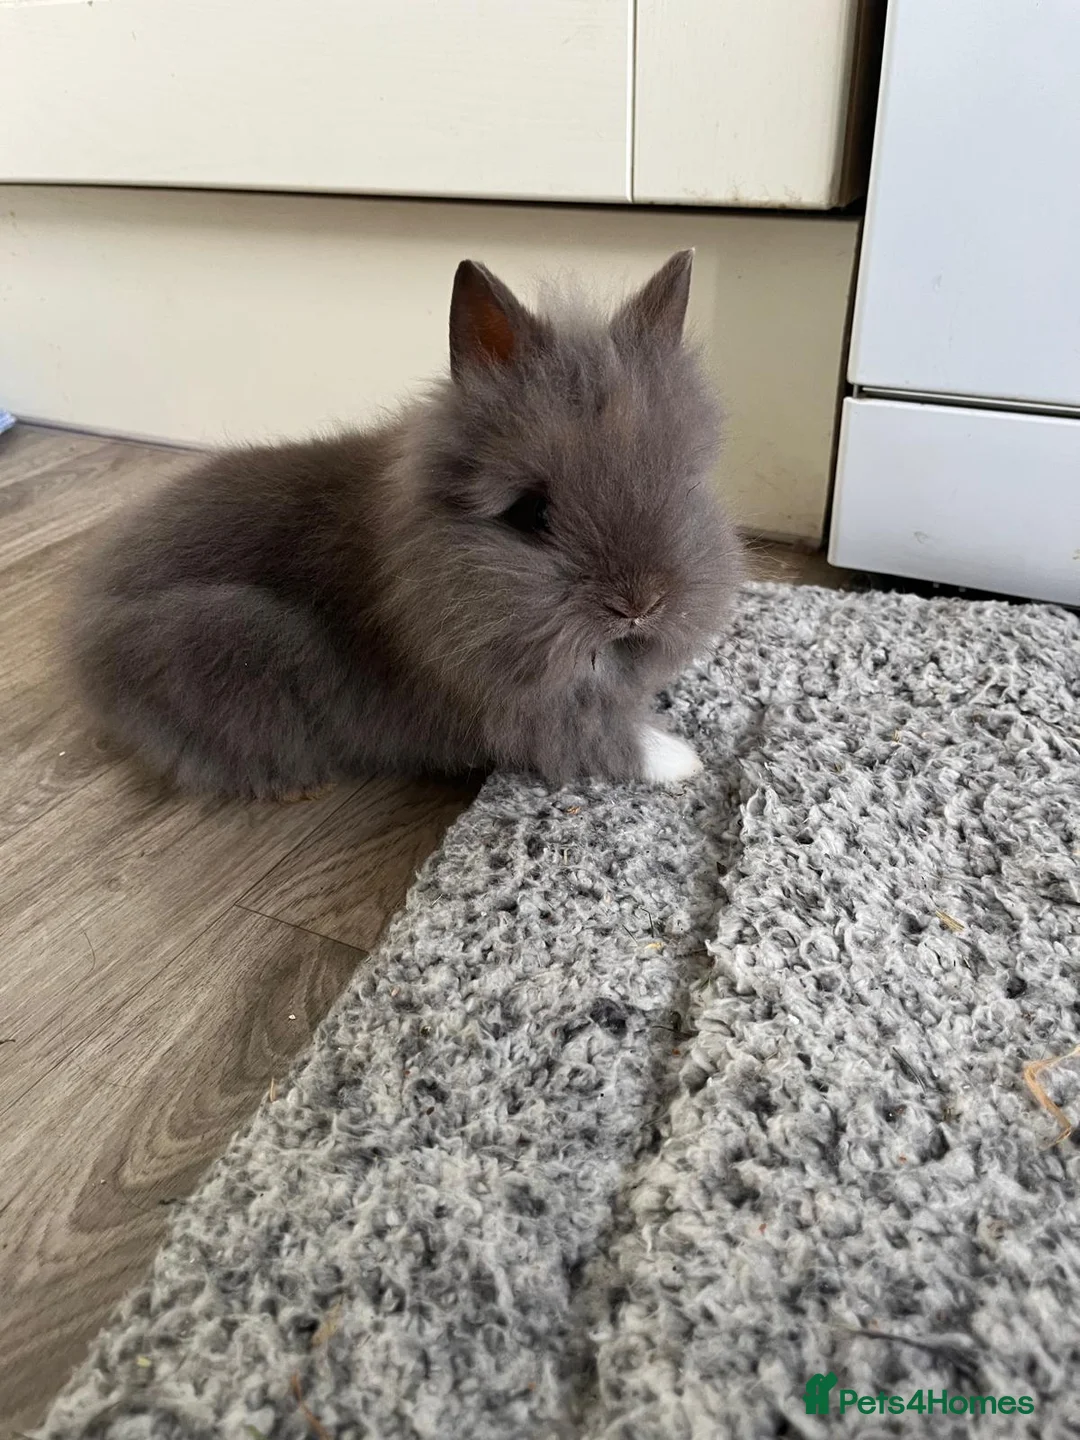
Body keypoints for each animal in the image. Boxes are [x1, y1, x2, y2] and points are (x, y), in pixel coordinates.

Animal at [70, 250, 742, 800]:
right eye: (532, 513)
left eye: (683, 485)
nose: (639, 605)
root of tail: (86, 625)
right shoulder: (514, 711)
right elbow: (596, 741)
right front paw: (684, 759)